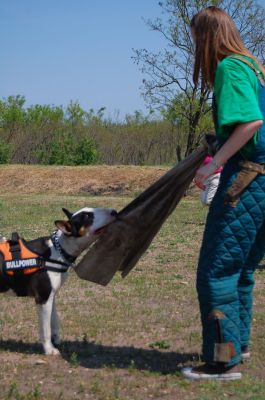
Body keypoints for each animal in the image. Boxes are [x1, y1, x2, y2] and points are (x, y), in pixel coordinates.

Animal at [0, 208, 116, 354]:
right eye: (87, 216)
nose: (114, 212)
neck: (58, 250)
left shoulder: (52, 295)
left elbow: (54, 320)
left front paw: (56, 340)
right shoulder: (43, 298)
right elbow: (45, 328)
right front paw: (49, 349)